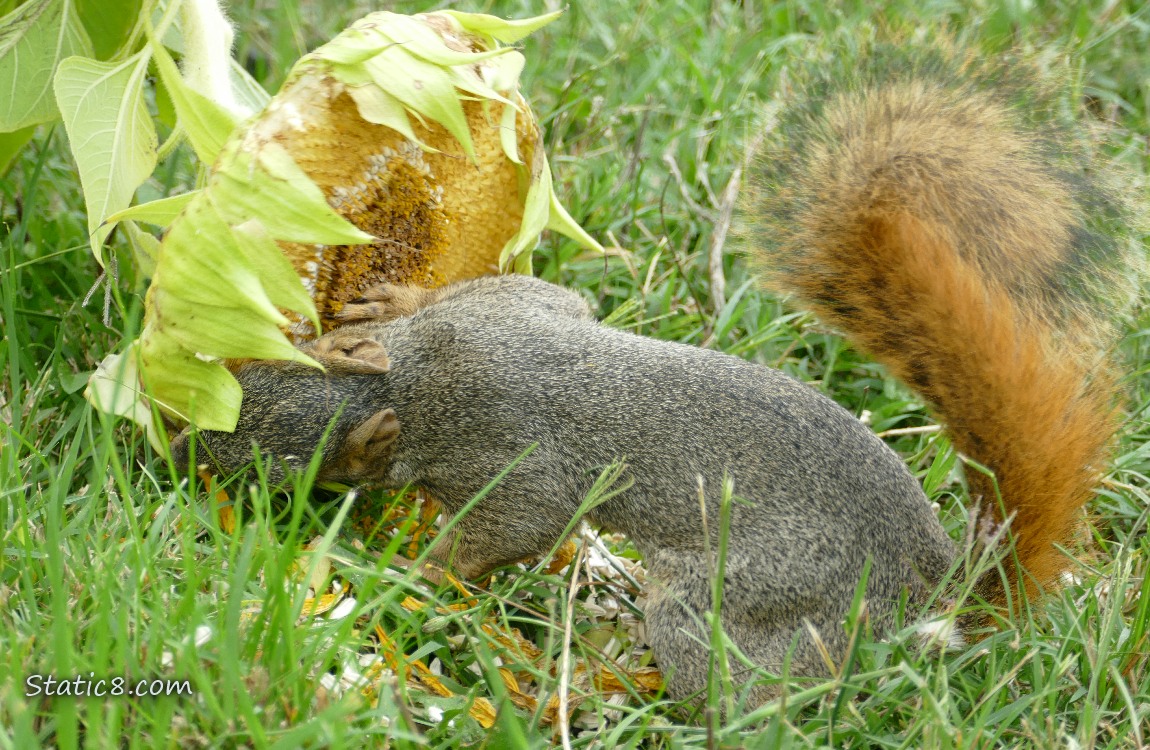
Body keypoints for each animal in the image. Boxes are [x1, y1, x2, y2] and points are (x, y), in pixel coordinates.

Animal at [167, 48, 1131, 708]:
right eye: (248, 365)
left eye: (280, 473)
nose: (174, 447)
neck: (414, 375)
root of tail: (932, 596)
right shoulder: (516, 308)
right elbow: (548, 295)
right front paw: (388, 297)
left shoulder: (501, 454)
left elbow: (517, 524)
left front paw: (420, 574)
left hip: (740, 600)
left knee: (751, 700)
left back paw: (628, 683)